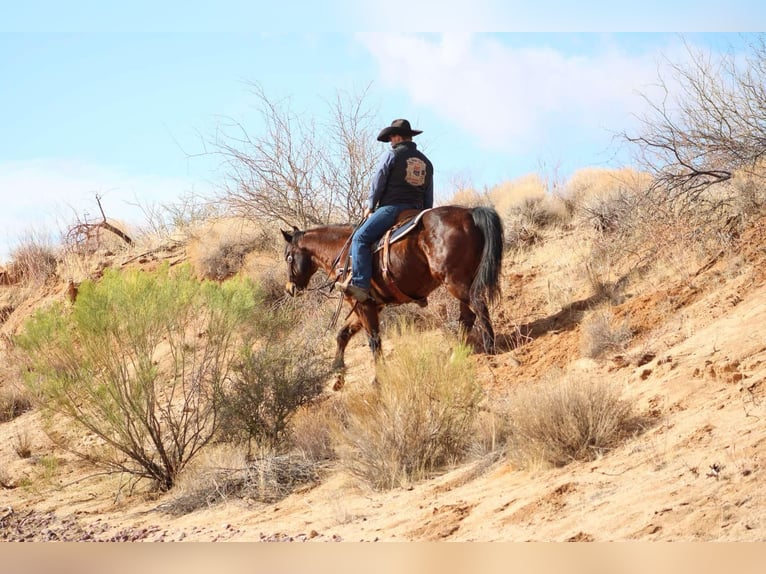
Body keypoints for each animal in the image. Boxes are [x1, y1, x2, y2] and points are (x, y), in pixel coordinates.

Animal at [281, 205, 504, 372]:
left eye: (288, 257)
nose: (290, 288)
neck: (343, 253)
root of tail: (470, 212)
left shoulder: (363, 305)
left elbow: (374, 341)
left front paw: (379, 378)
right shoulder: (369, 305)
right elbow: (343, 334)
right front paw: (337, 369)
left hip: (456, 282)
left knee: (478, 308)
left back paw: (489, 348)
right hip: (463, 282)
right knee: (467, 317)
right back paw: (459, 354)